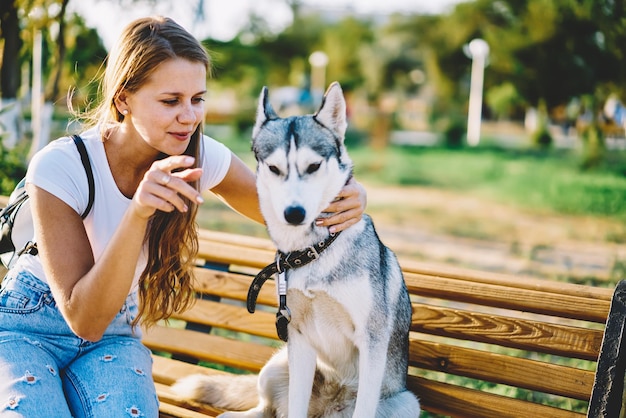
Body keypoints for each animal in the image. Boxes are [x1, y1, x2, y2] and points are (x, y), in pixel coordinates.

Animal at [171, 82, 420, 418]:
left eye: (313, 166)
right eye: (274, 168)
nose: (294, 213)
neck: (314, 250)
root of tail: (327, 409)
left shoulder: (372, 342)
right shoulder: (299, 339)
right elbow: (294, 405)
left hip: (407, 403)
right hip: (276, 365)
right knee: (269, 409)